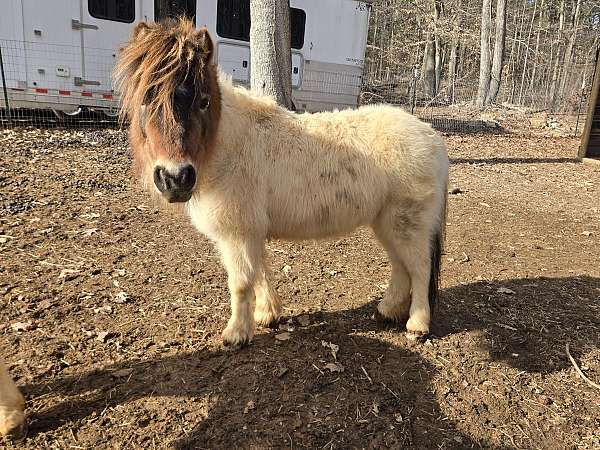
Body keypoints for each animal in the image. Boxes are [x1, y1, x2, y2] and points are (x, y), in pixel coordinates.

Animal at [0, 19, 446, 438]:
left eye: (202, 100)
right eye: (146, 99)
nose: (175, 178)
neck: (225, 147)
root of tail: (432, 138)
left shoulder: (237, 233)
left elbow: (241, 282)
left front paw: (237, 334)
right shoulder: (249, 232)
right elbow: (261, 273)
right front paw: (268, 315)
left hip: (405, 222)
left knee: (419, 270)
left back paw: (417, 325)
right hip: (387, 223)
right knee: (401, 268)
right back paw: (388, 310)